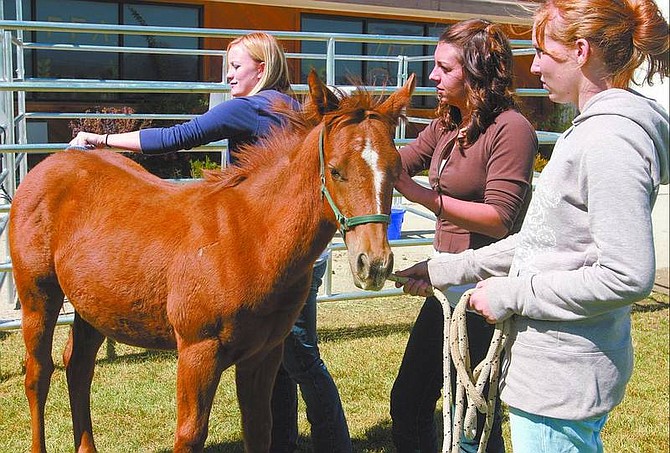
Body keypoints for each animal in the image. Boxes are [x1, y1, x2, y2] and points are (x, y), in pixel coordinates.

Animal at [7, 71, 418, 452]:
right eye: (335, 169)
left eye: (396, 168)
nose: (373, 264)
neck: (249, 238)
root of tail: (48, 166)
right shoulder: (197, 352)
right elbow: (190, 435)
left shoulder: (264, 354)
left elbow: (260, 428)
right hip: (38, 297)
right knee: (38, 374)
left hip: (94, 306)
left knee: (78, 368)